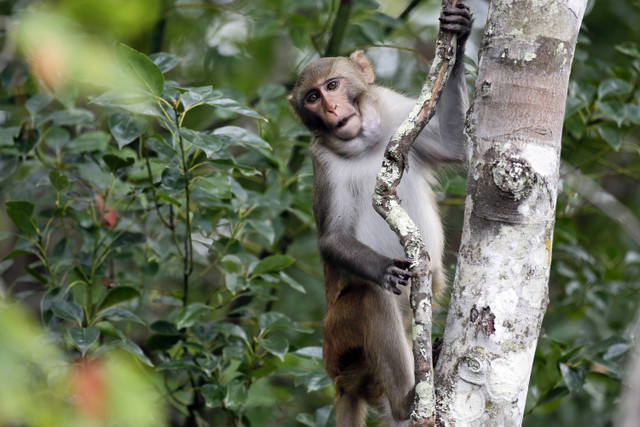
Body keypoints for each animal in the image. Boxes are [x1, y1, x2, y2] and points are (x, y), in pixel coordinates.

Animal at [288, 4, 470, 427]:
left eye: (333, 85)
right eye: (312, 97)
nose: (332, 109)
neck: (364, 143)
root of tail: (340, 380)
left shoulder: (396, 110)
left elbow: (454, 144)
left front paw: (460, 33)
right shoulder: (322, 163)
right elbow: (333, 238)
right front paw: (385, 268)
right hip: (338, 341)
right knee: (371, 298)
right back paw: (406, 400)